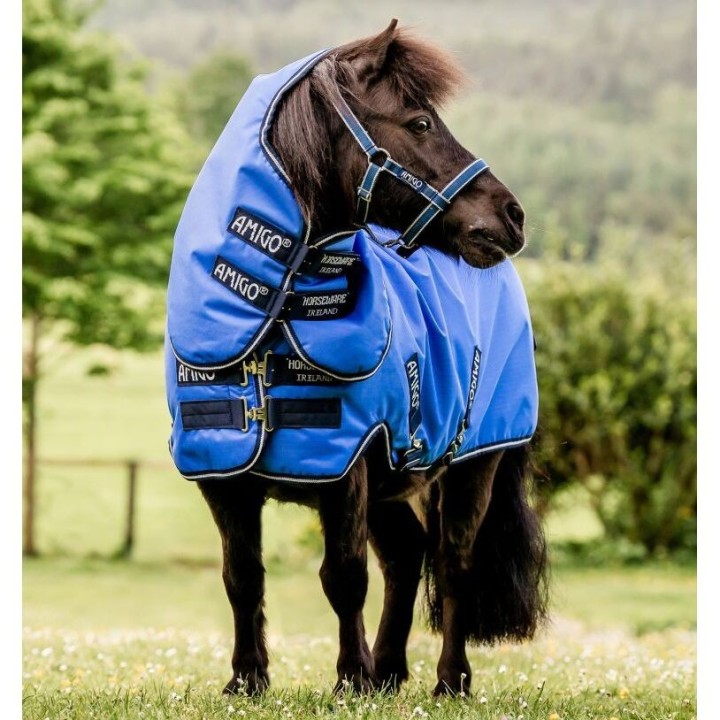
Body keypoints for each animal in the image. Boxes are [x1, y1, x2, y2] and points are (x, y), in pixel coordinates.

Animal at [168, 20, 549, 697]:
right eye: (419, 122)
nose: (511, 215)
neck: (271, 323)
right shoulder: (223, 476)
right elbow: (242, 576)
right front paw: (248, 680)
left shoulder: (344, 466)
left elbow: (343, 576)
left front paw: (350, 679)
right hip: (392, 488)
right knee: (407, 555)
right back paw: (391, 670)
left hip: (475, 463)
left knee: (453, 560)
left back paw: (448, 680)